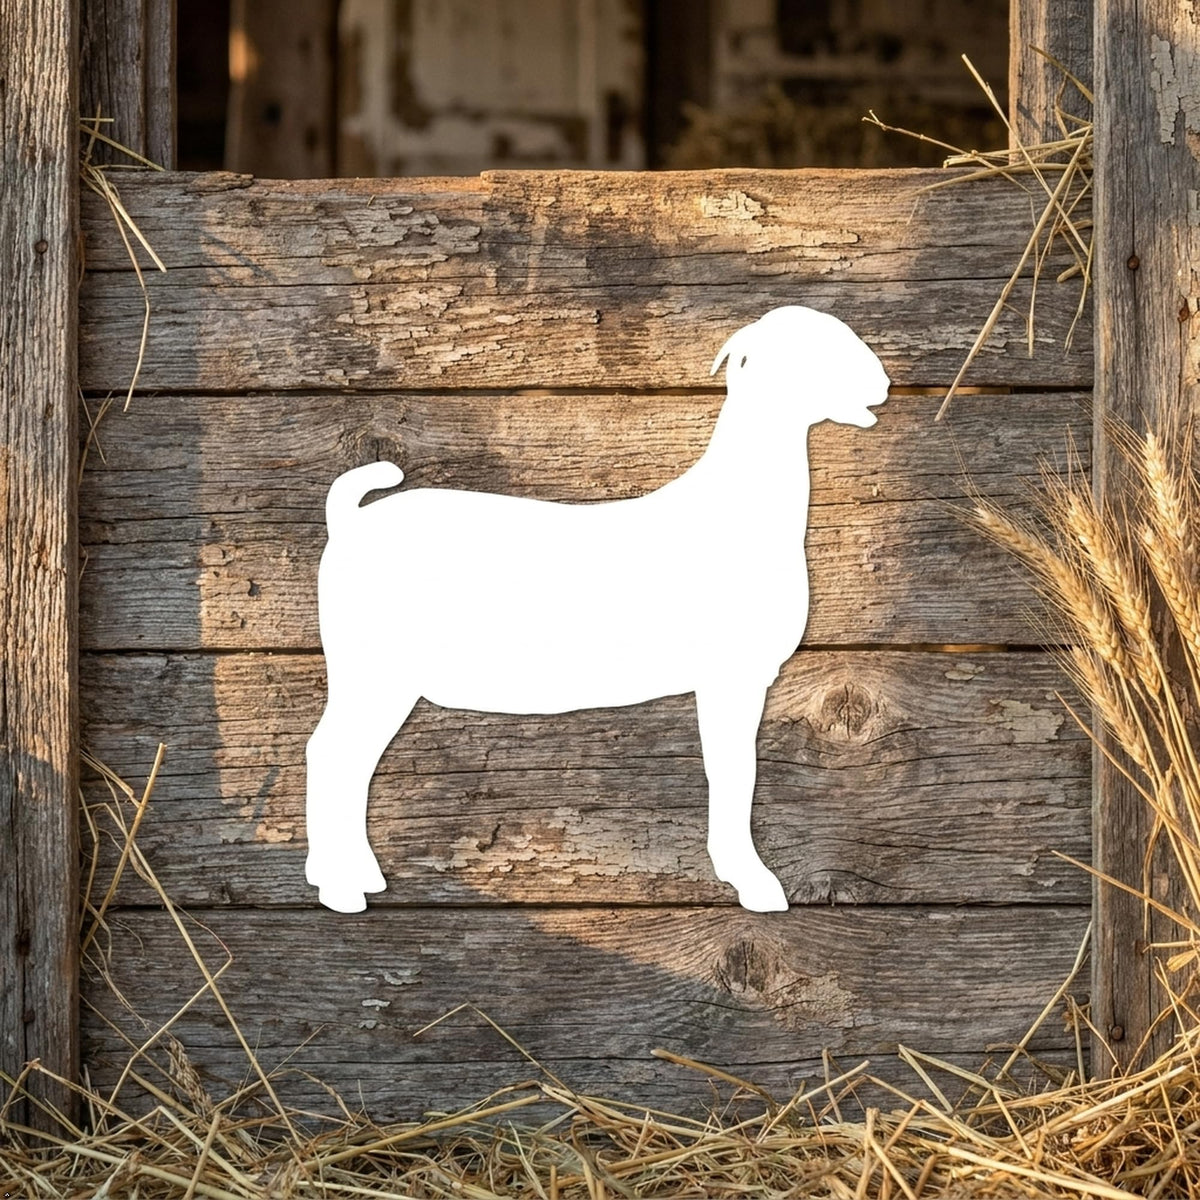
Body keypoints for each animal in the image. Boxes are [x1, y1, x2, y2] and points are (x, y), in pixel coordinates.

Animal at [305, 305, 890, 914]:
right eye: (816, 347)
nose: (883, 382)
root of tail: (349, 522)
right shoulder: (732, 676)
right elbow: (735, 774)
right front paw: (754, 882)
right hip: (375, 669)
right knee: (331, 753)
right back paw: (341, 887)